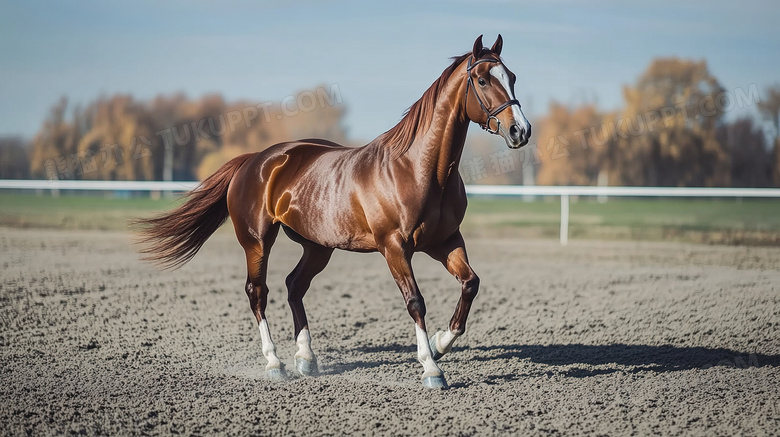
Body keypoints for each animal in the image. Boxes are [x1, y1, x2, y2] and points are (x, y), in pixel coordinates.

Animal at [134, 35, 532, 388]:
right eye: (483, 79)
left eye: (512, 77)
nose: (520, 130)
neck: (418, 169)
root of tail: (255, 160)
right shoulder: (394, 247)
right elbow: (416, 301)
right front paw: (431, 369)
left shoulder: (445, 241)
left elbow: (470, 284)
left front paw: (438, 344)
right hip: (257, 241)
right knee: (257, 292)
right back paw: (275, 363)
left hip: (317, 246)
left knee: (294, 285)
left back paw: (306, 359)